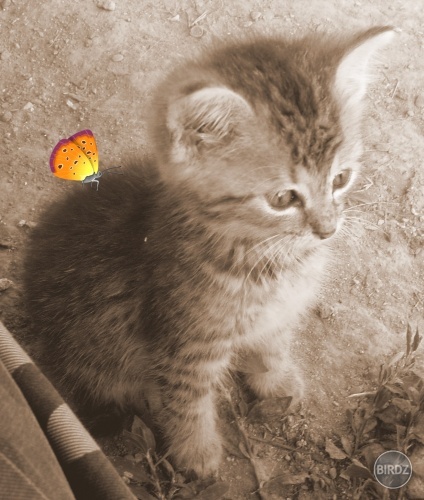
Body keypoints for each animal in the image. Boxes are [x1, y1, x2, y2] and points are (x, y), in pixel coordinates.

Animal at [23, 26, 393, 476]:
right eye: (283, 199)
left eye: (341, 178)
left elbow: (272, 345)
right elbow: (187, 403)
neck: (272, 261)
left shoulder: (277, 315)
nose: (327, 229)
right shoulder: (185, 347)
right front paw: (196, 452)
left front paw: (275, 380)